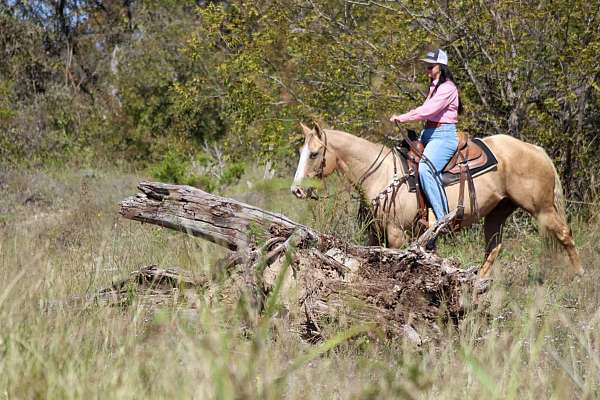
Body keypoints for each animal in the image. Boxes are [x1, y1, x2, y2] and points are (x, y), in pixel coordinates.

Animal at [292, 122, 584, 278]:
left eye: (314, 154)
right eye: (302, 151)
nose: (297, 190)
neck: (383, 175)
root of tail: (536, 149)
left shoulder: (397, 234)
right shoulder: (375, 233)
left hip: (543, 209)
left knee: (565, 234)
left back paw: (579, 276)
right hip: (498, 212)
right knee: (494, 248)